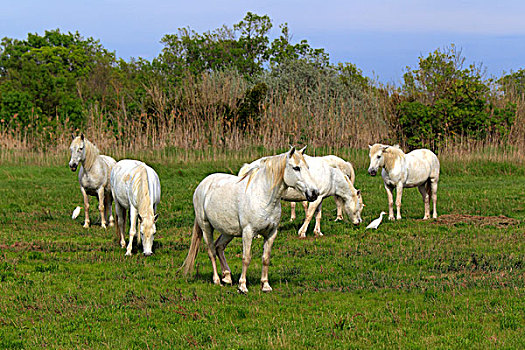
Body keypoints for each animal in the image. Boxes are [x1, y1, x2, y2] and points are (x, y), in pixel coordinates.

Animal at [182, 146, 318, 294]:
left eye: (307, 167)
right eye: (296, 168)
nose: (314, 193)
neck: (263, 196)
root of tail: (202, 185)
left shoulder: (271, 233)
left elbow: (266, 258)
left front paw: (265, 285)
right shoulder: (248, 232)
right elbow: (246, 258)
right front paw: (242, 286)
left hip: (228, 231)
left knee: (219, 247)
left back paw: (227, 277)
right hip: (206, 227)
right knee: (211, 251)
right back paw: (217, 280)